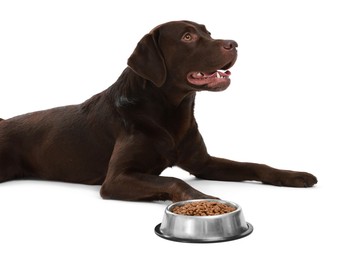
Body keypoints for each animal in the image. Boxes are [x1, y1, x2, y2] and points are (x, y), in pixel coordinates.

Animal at [0, 21, 318, 202]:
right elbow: (173, 179)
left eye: (208, 32)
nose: (234, 43)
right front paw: (201, 197)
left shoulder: (204, 163)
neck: (171, 112)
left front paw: (293, 175)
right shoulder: (116, 178)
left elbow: (255, 165)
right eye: (188, 37)